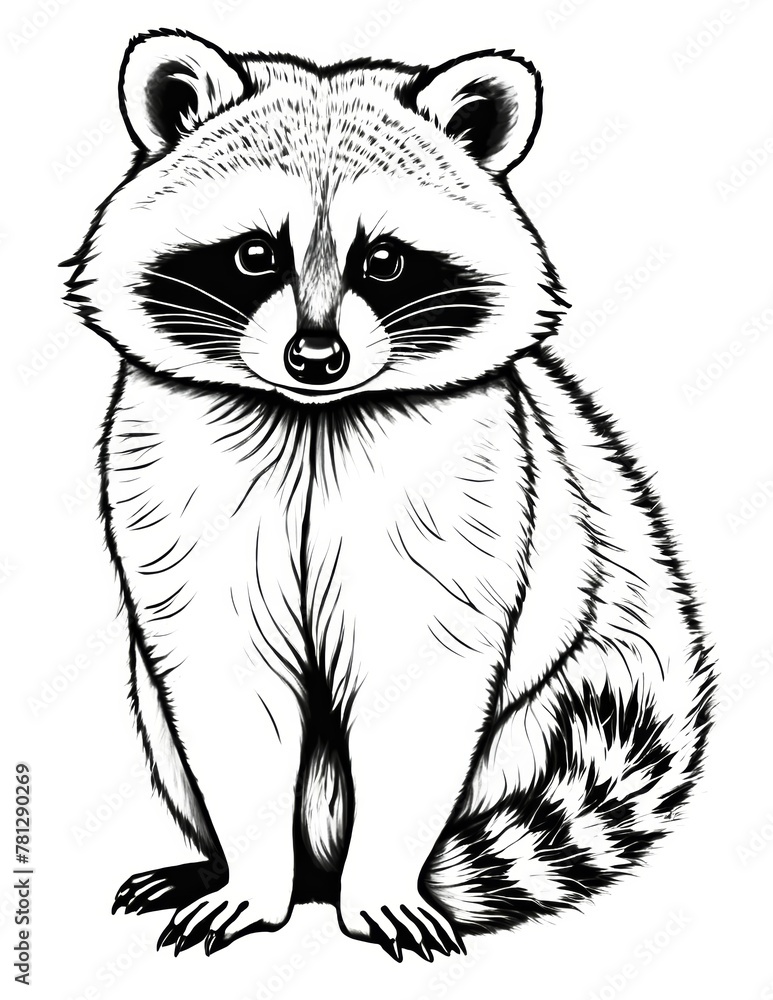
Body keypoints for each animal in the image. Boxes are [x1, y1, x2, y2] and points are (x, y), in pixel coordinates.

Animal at [65, 29, 714, 961]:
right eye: (256, 253)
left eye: (383, 260)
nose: (315, 357)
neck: (310, 417)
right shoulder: (175, 471)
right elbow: (225, 687)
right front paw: (251, 878)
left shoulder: (465, 483)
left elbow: (421, 685)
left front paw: (381, 884)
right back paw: (238, 867)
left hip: (576, 694)